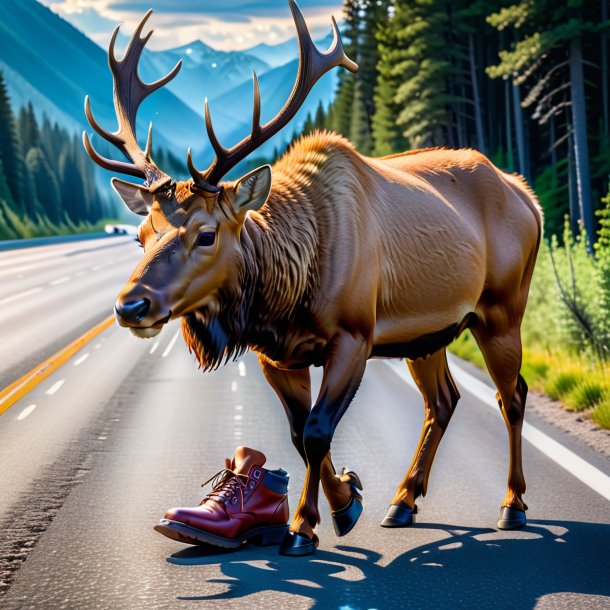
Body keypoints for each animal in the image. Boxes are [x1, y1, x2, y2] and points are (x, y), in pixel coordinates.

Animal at [82, 1, 540, 556]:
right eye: (142, 234)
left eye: (207, 234)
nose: (131, 305)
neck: (287, 296)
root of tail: (528, 195)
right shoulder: (277, 355)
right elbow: (300, 434)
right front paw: (346, 499)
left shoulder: (355, 336)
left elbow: (319, 430)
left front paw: (305, 526)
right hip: (428, 333)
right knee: (443, 401)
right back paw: (403, 500)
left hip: (502, 310)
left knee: (511, 396)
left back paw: (513, 505)